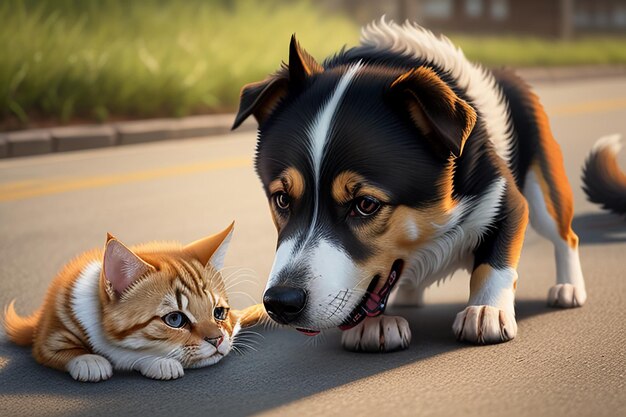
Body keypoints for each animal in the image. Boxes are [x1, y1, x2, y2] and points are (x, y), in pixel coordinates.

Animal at [1, 223, 264, 382]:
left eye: (219, 312)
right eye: (175, 319)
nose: (217, 339)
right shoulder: (48, 338)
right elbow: (64, 351)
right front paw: (89, 360)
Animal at [230, 19, 584, 352]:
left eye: (366, 204)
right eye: (282, 199)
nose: (281, 302)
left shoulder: (504, 197)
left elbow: (494, 260)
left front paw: (486, 310)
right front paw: (375, 324)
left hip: (543, 187)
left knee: (565, 235)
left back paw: (569, 288)